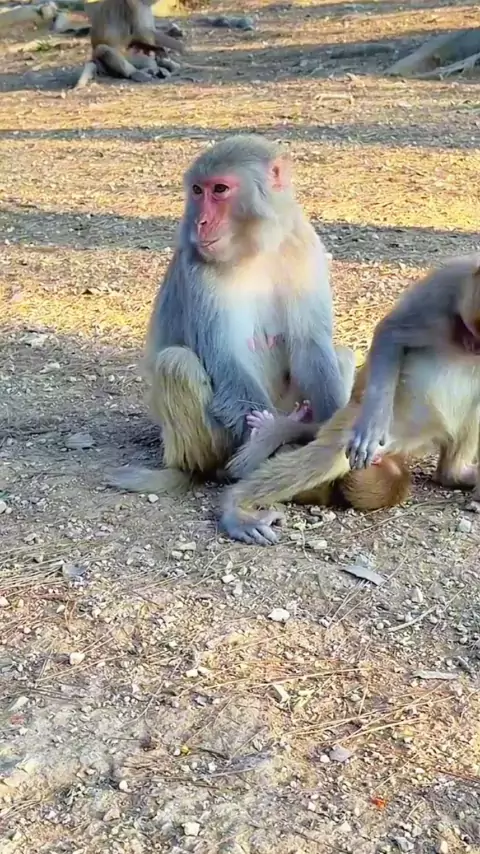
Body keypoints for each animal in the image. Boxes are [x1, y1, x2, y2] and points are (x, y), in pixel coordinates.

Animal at [109, 134, 356, 497]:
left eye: (220, 189)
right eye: (198, 190)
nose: (200, 222)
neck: (255, 249)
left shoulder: (304, 248)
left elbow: (309, 344)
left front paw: (323, 441)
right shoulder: (198, 269)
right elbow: (225, 358)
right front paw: (269, 443)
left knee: (340, 353)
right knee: (176, 363)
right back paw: (203, 470)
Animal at [219, 254, 480, 544]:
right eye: (472, 333)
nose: (473, 347)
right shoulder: (448, 283)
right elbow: (392, 332)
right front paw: (372, 426)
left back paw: (456, 473)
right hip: (381, 415)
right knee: (326, 455)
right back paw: (235, 506)